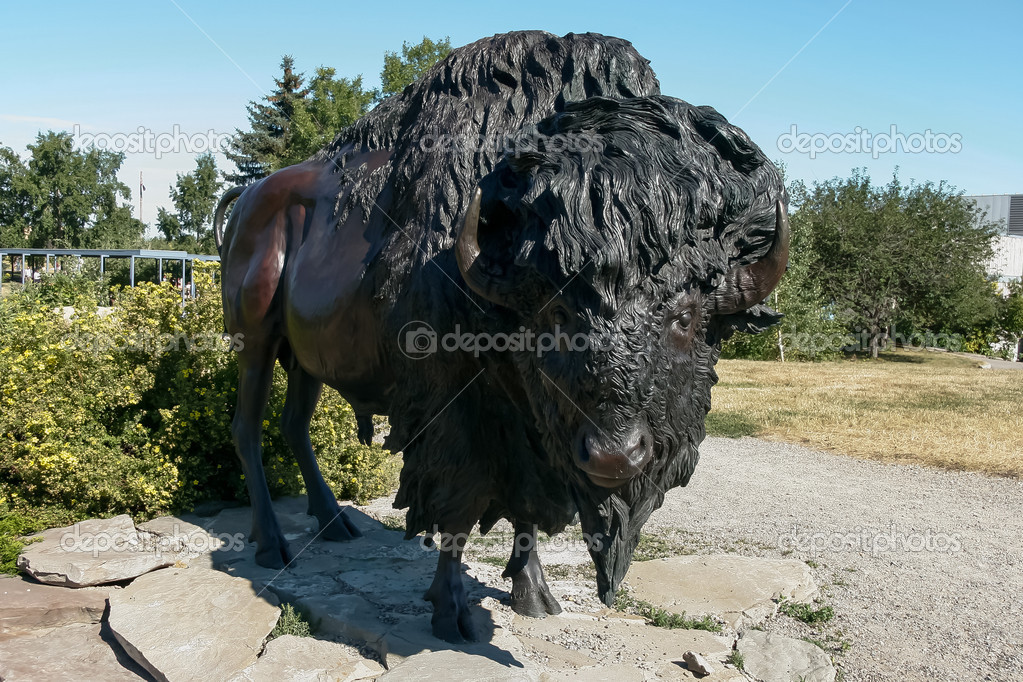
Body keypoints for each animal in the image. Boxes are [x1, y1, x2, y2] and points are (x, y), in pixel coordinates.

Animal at [214, 30, 788, 643]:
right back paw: (272, 546)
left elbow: (526, 507)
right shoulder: (455, 409)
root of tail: (247, 199)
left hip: (306, 361)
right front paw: (451, 613)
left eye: (685, 316)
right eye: (555, 313)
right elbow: (460, 502)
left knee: (294, 426)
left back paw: (335, 522)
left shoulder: (531, 429)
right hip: (255, 342)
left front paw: (535, 595)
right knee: (247, 428)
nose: (614, 455)